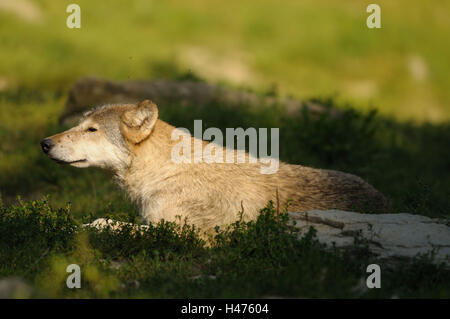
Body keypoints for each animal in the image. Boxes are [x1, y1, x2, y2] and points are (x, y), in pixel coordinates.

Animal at [40, 101, 388, 231]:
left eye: (91, 130)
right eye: (78, 125)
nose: (44, 143)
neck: (164, 172)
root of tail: (385, 200)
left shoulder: (181, 232)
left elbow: (102, 222)